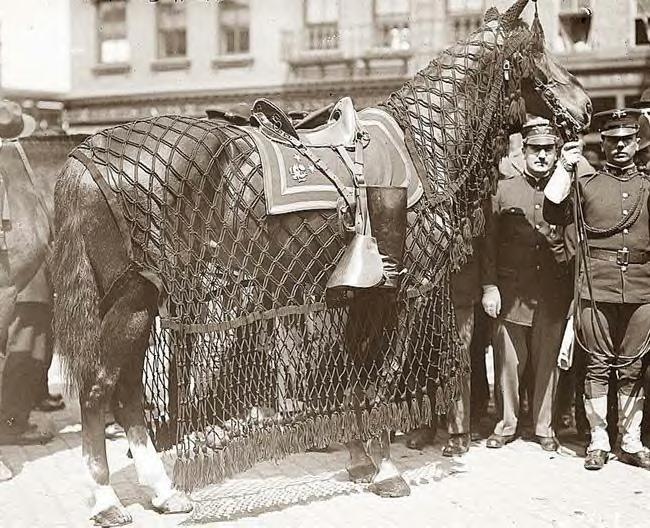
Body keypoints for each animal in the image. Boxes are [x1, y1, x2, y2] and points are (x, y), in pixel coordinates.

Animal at [49, 2, 588, 524]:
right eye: (536, 52)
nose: (584, 105)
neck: (420, 145)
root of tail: (85, 155)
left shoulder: (358, 298)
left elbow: (356, 376)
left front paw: (359, 458)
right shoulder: (400, 292)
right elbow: (383, 381)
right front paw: (386, 468)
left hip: (137, 302)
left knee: (126, 393)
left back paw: (162, 492)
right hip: (132, 300)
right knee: (99, 389)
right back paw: (107, 500)